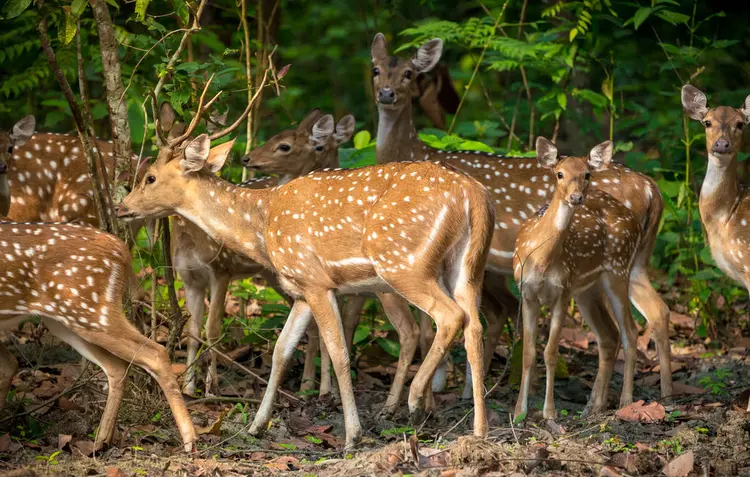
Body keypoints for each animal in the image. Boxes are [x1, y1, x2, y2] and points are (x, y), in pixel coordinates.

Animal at [0, 219, 197, 450]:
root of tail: (122, 249)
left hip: (88, 310)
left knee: (155, 352)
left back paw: (190, 441)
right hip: (69, 319)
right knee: (117, 367)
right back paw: (101, 440)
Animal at [119, 82, 500, 446]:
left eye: (150, 177)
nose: (123, 208)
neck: (262, 225)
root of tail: (474, 195)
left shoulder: (316, 280)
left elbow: (338, 351)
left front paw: (352, 435)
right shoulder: (300, 288)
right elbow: (281, 351)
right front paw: (256, 426)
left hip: (403, 262)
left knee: (449, 317)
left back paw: (415, 399)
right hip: (465, 266)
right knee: (475, 326)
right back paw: (479, 431)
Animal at [516, 138, 644, 416]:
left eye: (587, 174)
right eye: (559, 173)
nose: (576, 197)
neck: (541, 259)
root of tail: (634, 220)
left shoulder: (562, 292)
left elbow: (551, 352)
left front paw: (549, 412)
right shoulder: (527, 293)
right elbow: (528, 352)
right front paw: (519, 411)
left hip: (618, 270)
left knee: (630, 331)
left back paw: (626, 402)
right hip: (586, 289)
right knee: (609, 335)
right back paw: (594, 405)